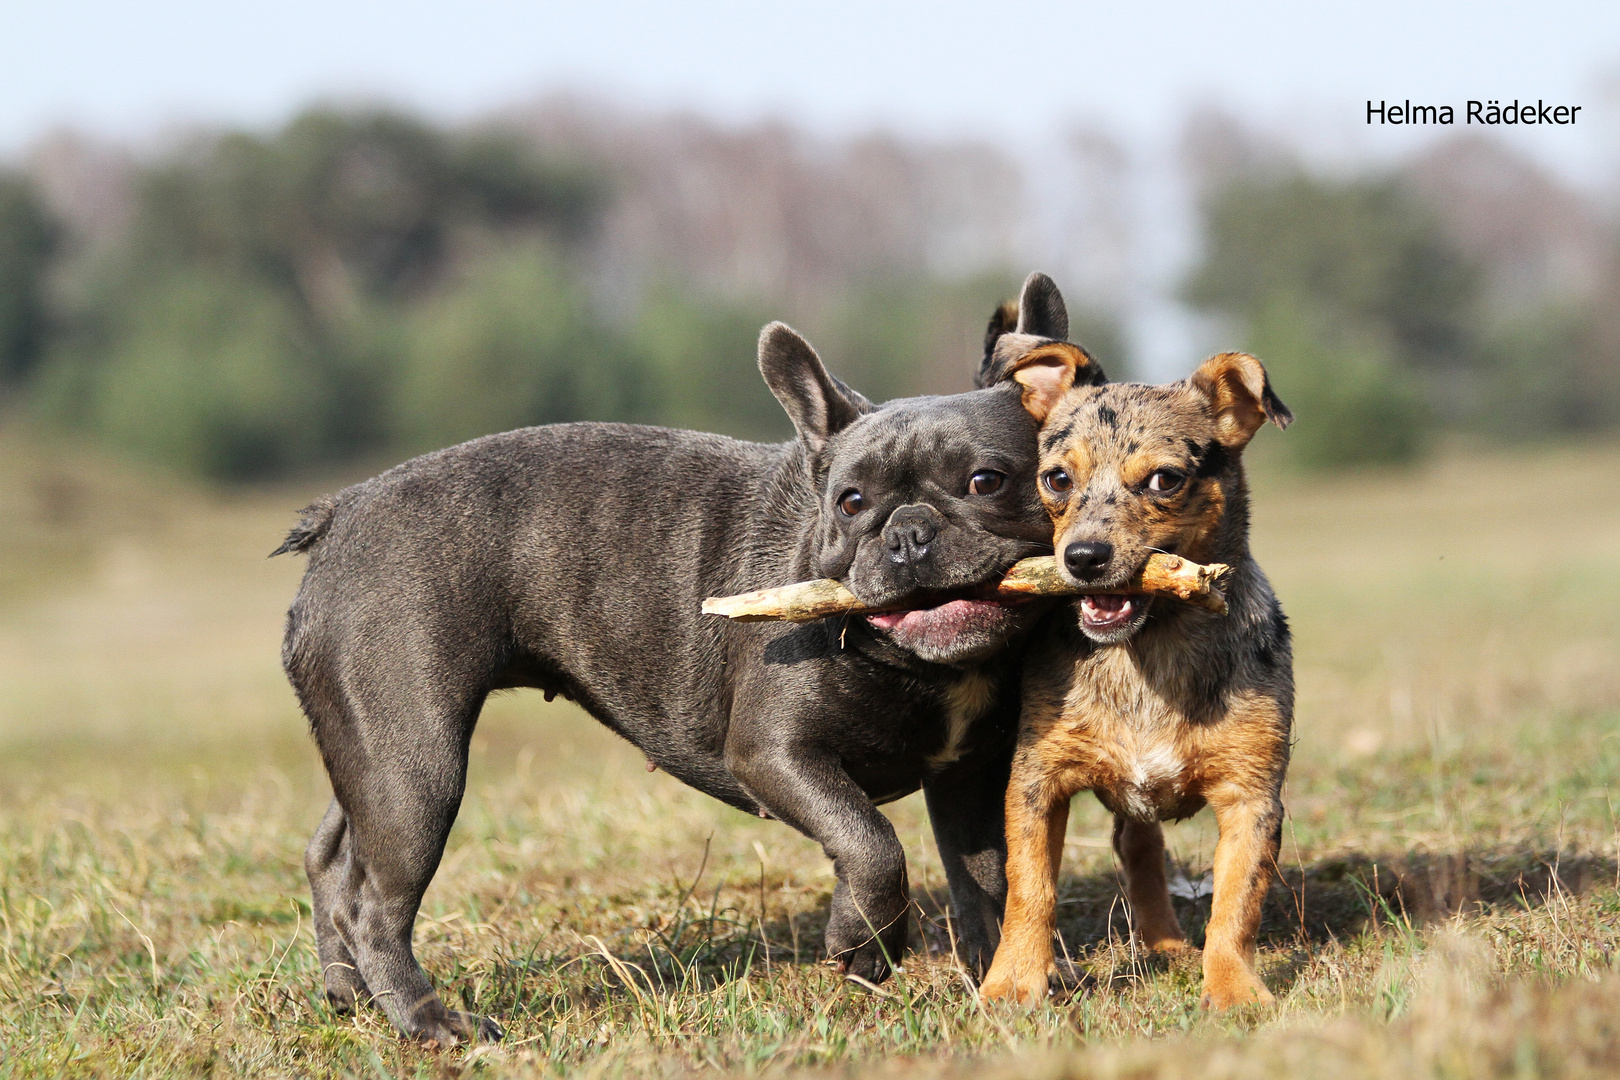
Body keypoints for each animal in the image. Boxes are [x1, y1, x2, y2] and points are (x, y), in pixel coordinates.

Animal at [965, 281, 1296, 1016]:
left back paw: (1169, 946)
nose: (1084, 558)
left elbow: (1238, 903)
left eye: (1165, 480)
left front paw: (1233, 989)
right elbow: (1031, 889)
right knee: (1135, 845)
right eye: (1056, 480)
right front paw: (1012, 984)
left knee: (1141, 849)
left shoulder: (1253, 796)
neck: (1146, 651)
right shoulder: (1036, 782)